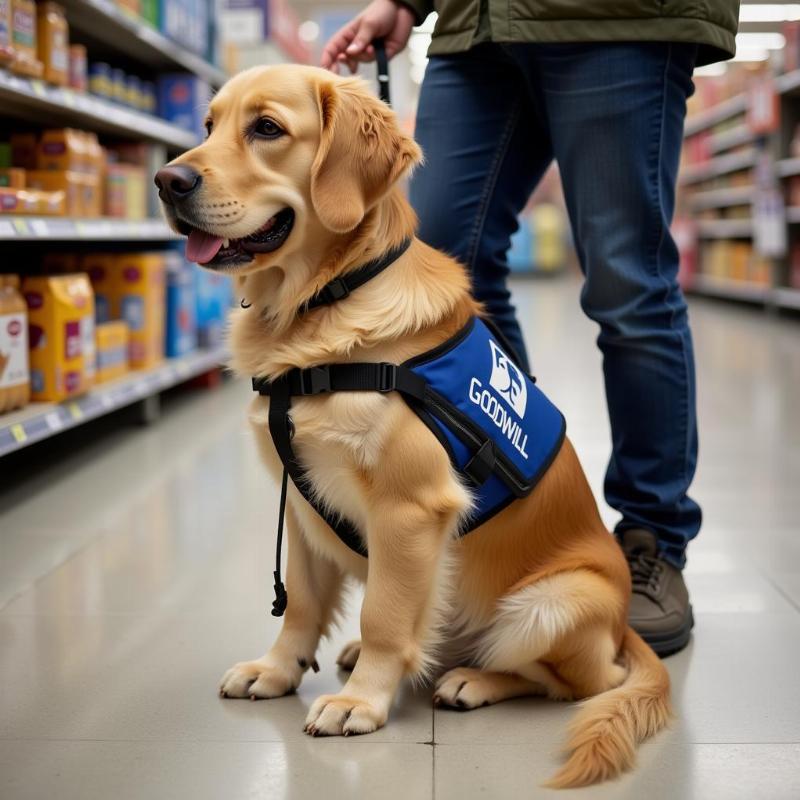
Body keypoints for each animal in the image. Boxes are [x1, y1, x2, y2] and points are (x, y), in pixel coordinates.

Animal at [155, 62, 668, 788]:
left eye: (267, 129)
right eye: (207, 124)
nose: (166, 180)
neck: (318, 308)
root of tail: (627, 630)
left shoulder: (409, 509)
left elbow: (387, 616)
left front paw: (361, 703)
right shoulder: (302, 503)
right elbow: (302, 605)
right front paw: (278, 671)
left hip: (553, 602)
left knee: (572, 682)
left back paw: (472, 681)